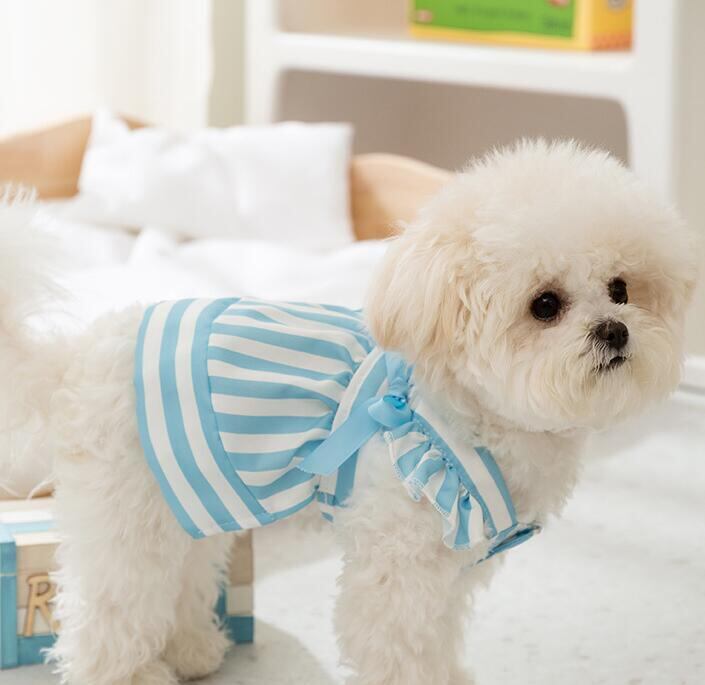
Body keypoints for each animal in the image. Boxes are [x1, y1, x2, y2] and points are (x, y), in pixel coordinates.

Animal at [0, 141, 697, 685]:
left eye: (621, 289)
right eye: (545, 304)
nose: (615, 330)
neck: (469, 415)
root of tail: (76, 356)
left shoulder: (450, 572)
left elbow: (438, 643)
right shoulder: (398, 572)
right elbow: (400, 653)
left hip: (195, 503)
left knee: (186, 579)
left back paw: (193, 649)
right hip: (128, 519)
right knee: (106, 608)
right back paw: (130, 672)